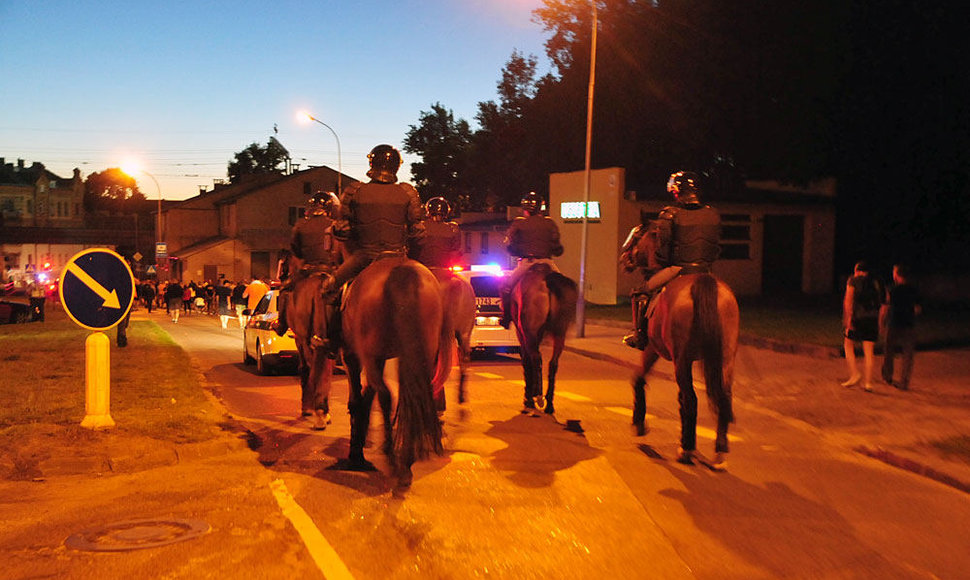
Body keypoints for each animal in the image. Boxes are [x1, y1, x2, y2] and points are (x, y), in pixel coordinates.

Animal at [282, 274, 334, 430]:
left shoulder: (300, 340)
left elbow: (305, 369)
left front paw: (308, 408)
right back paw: (322, 411)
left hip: (306, 341)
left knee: (314, 369)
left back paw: (318, 412)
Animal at [338, 258, 444, 490]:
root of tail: (402, 271)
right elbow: (367, 395)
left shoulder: (354, 356)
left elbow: (358, 399)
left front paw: (357, 449)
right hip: (420, 351)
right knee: (412, 396)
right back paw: (407, 459)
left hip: (372, 354)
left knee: (386, 396)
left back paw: (393, 458)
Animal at [506, 262, 576, 412]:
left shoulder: (522, 334)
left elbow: (526, 361)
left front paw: (528, 397)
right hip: (559, 333)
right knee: (553, 363)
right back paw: (549, 403)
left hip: (530, 333)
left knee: (536, 359)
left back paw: (536, 397)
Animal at [632, 224, 736, 468]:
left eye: (636, 237)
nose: (625, 259)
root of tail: (704, 282)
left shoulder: (653, 349)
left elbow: (639, 377)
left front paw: (639, 423)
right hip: (725, 359)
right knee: (723, 396)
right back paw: (718, 452)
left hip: (682, 360)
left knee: (691, 399)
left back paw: (686, 450)